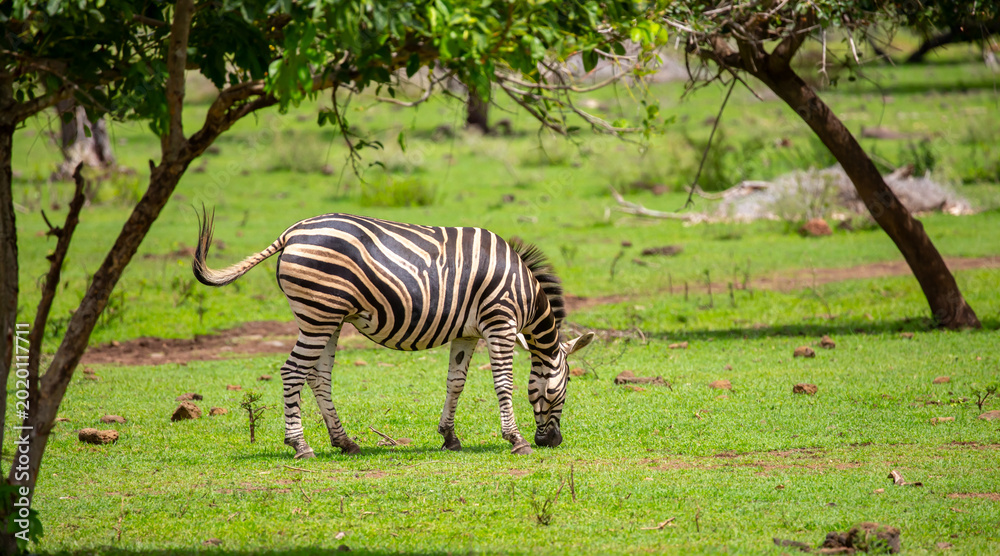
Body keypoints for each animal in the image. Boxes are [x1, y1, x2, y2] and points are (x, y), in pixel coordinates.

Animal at [192, 210, 594, 458]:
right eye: (565, 387)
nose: (553, 442)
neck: (525, 294)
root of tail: (292, 232)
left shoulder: (467, 333)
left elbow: (456, 382)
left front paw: (449, 437)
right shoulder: (501, 322)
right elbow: (504, 383)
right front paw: (516, 439)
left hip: (329, 318)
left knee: (318, 376)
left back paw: (345, 442)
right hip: (318, 313)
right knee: (293, 371)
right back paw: (301, 446)